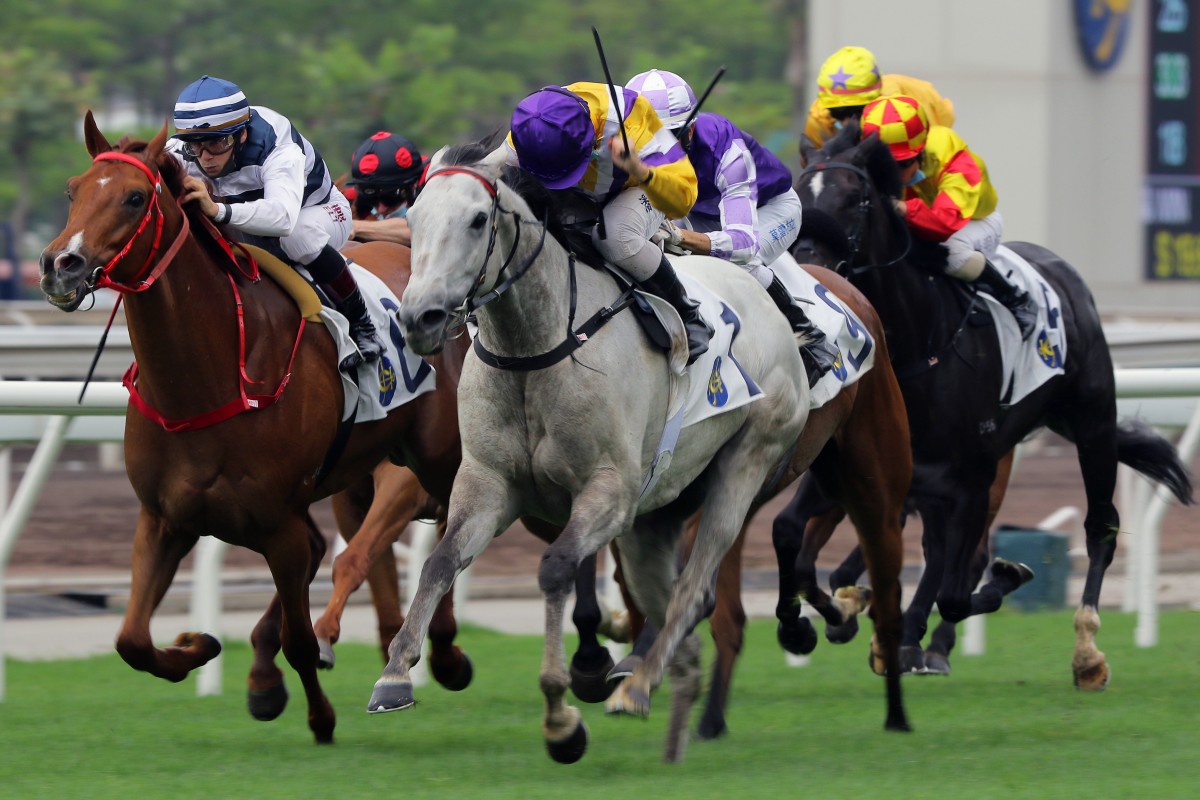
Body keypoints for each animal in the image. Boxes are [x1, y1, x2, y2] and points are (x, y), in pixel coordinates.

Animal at [777, 125, 1190, 690]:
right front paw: (834, 615)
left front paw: (1006, 576)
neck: (917, 345)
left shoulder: (971, 479)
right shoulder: (861, 469)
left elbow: (957, 589)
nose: (810, 264)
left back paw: (1085, 652)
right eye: (800, 192)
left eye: (856, 198)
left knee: (1098, 529)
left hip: (1092, 426)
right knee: (934, 551)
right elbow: (798, 545)